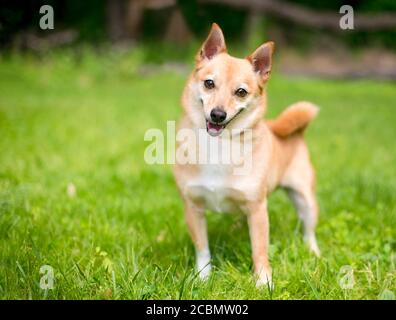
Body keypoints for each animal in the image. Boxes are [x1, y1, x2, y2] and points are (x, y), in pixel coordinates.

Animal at [174, 23, 322, 288]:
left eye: (241, 92)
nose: (218, 114)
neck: (219, 145)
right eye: (209, 83)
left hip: (305, 200)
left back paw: (313, 252)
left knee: (309, 230)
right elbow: (202, 248)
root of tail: (296, 131)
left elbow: (259, 250)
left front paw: (263, 281)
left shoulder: (257, 210)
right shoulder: (193, 208)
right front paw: (203, 277)